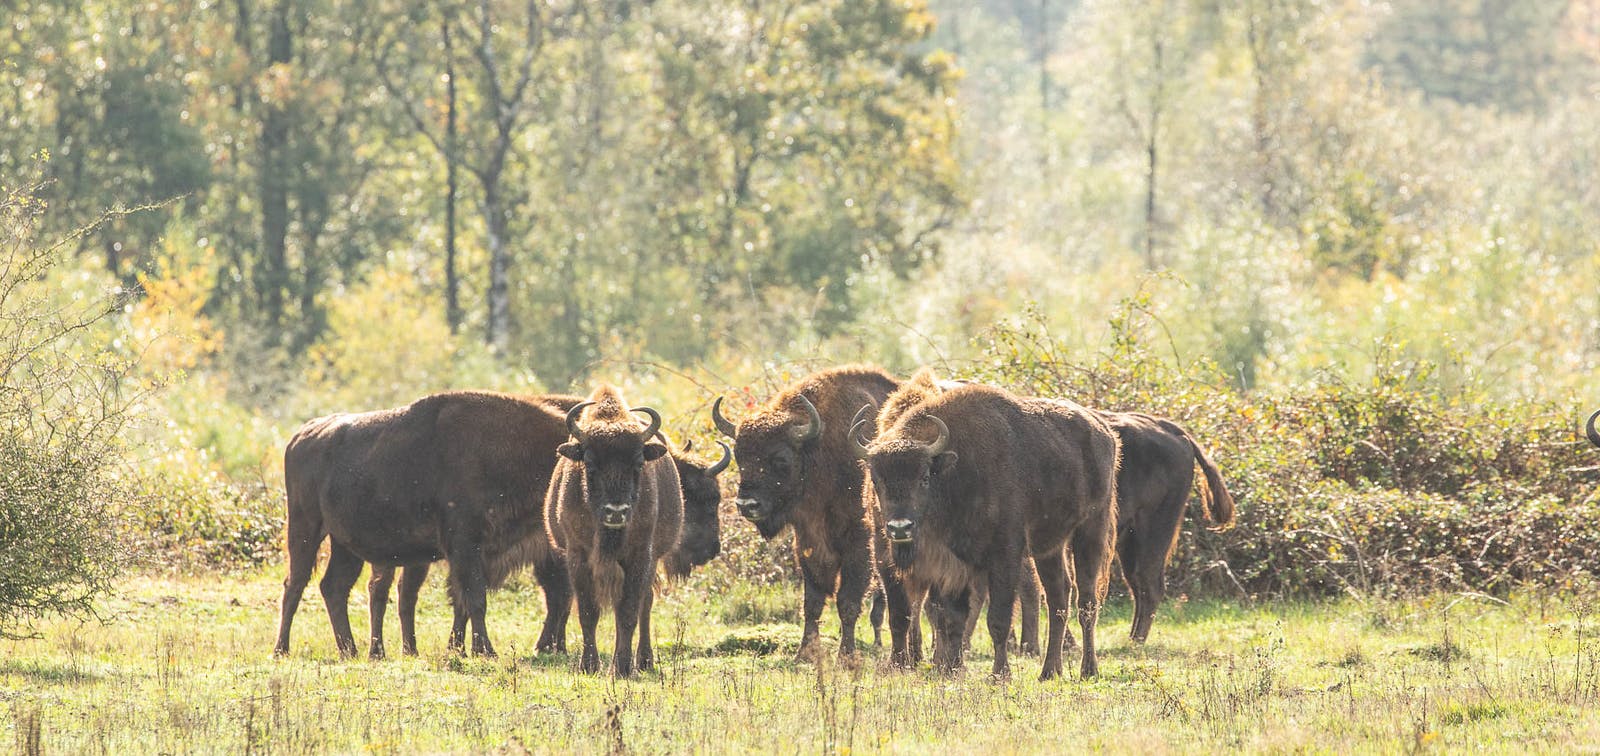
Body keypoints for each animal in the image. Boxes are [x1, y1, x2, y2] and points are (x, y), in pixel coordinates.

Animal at [276, 392, 576, 659]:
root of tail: (301, 436)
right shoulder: (465, 545)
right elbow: (475, 598)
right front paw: (486, 651)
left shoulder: (474, 553)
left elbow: (465, 600)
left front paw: (465, 649)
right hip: (305, 529)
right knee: (295, 583)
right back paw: (282, 649)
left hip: (345, 545)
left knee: (334, 587)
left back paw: (350, 651)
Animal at [547, 387, 684, 675]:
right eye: (589, 463)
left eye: (639, 463)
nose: (616, 512)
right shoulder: (578, 555)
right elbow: (588, 611)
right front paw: (589, 665)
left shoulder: (640, 556)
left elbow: (629, 611)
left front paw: (621, 667)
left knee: (645, 605)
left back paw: (643, 661)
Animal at [710, 366, 921, 659]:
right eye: (739, 458)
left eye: (781, 459)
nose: (746, 504)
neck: (819, 448)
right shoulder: (807, 541)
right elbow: (812, 601)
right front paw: (804, 653)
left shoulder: (858, 542)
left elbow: (847, 601)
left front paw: (846, 655)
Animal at [851, 384, 1126, 679]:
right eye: (876, 481)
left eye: (924, 477)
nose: (899, 528)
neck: (954, 473)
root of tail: (1105, 432)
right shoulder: (949, 564)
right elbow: (947, 617)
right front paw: (950, 669)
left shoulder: (1005, 555)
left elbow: (997, 619)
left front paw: (1000, 674)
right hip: (1049, 546)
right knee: (1058, 598)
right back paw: (1049, 671)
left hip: (1091, 529)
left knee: (1086, 601)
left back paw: (1088, 669)